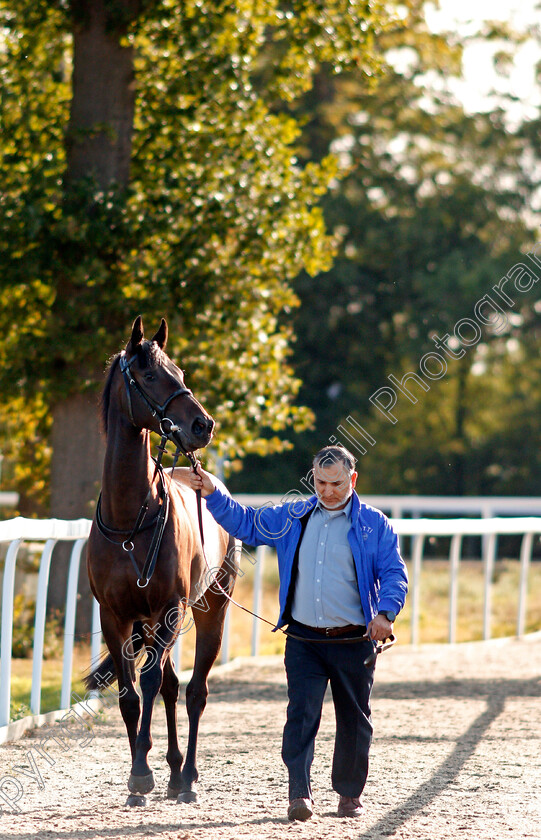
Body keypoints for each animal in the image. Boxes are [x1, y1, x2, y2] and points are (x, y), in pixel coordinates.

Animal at [85, 316, 235, 808]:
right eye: (149, 375)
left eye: (181, 372)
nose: (203, 425)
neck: (130, 523)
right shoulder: (116, 617)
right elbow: (130, 695)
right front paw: (140, 774)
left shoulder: (171, 607)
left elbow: (150, 684)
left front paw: (142, 773)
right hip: (150, 622)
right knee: (171, 686)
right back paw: (171, 771)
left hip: (208, 611)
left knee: (194, 691)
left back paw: (187, 777)